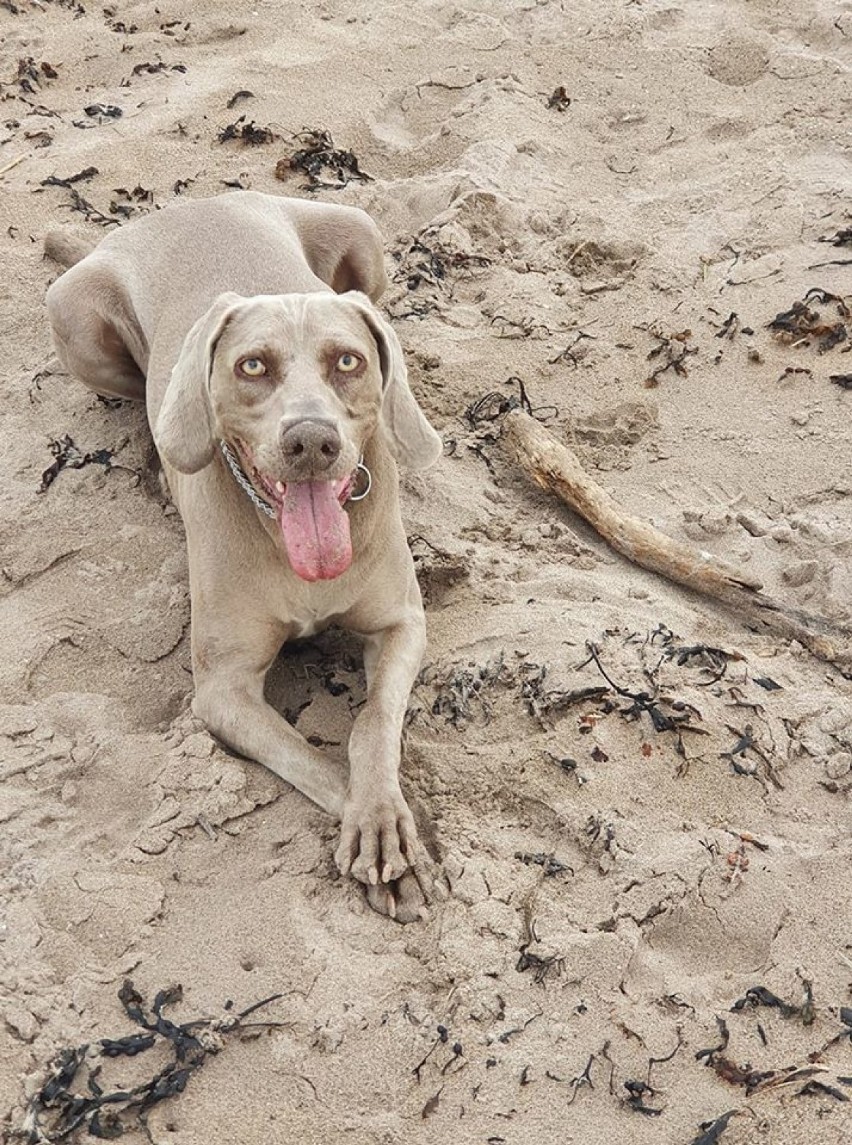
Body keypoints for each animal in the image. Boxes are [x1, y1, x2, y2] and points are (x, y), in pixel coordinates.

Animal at [44, 190, 446, 920]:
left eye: (348, 361)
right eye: (252, 366)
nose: (311, 440)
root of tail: (184, 205)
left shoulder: (402, 623)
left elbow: (372, 724)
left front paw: (385, 818)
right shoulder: (223, 690)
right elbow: (311, 757)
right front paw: (389, 844)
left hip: (359, 231)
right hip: (78, 317)